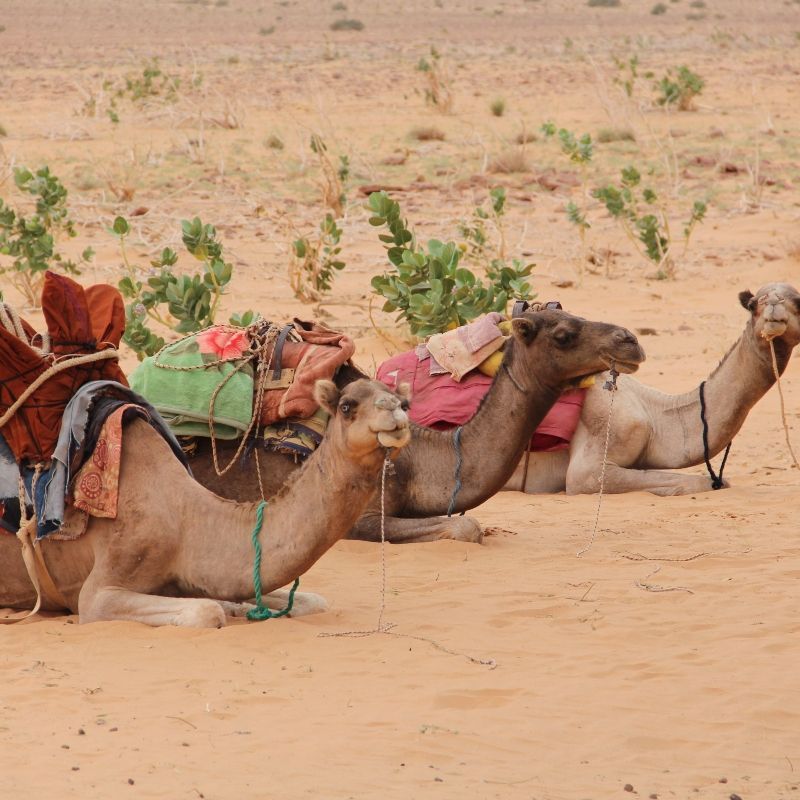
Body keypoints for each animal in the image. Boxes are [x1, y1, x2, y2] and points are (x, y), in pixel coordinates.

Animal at [0, 379, 411, 627]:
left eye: (404, 399)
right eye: (347, 405)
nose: (395, 410)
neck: (188, 523)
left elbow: (312, 600)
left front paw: (241, 606)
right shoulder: (99, 592)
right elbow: (205, 610)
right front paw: (228, 608)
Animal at [508, 282, 800, 496]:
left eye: (797, 301)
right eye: (753, 305)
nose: (774, 311)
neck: (654, 415)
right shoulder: (593, 460)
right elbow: (704, 482)